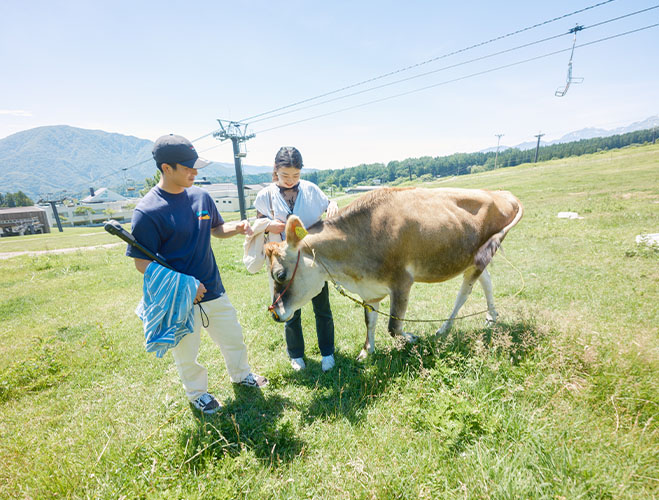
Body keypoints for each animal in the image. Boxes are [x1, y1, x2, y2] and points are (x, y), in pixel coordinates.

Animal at [266, 188, 524, 360]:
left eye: (280, 275)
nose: (275, 314)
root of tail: (502, 193)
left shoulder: (401, 282)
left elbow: (393, 326)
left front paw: (411, 338)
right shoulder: (370, 290)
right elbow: (369, 322)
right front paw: (366, 351)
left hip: (480, 255)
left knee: (464, 292)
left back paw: (444, 328)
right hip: (474, 256)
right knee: (486, 282)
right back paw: (491, 316)